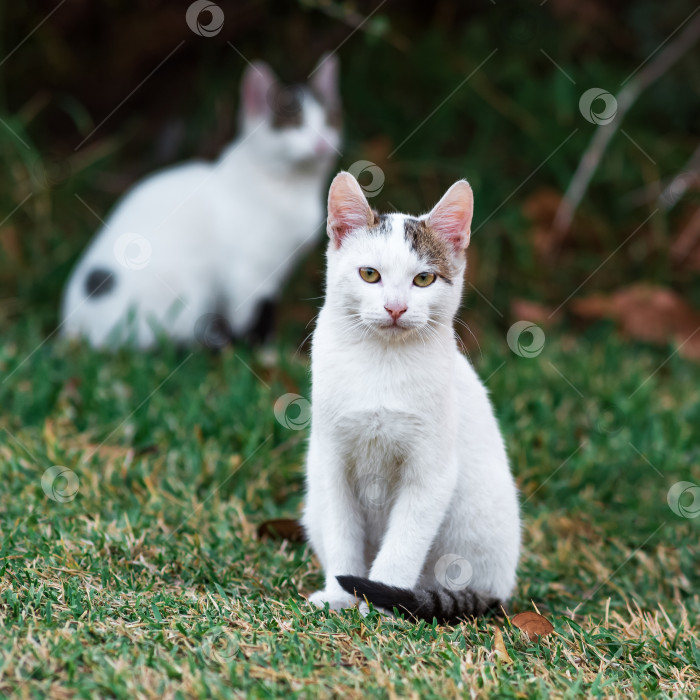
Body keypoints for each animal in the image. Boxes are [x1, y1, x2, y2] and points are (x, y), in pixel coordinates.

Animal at [61, 54, 340, 348]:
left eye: (330, 120)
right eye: (294, 124)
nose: (322, 142)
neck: (288, 186)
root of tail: (73, 331)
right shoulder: (248, 271)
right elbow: (254, 311)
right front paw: (262, 348)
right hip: (185, 294)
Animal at [304, 172, 524, 620]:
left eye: (424, 279)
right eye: (369, 274)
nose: (395, 308)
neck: (381, 364)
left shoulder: (432, 471)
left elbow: (404, 543)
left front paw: (380, 605)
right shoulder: (331, 460)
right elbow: (341, 531)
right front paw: (339, 596)